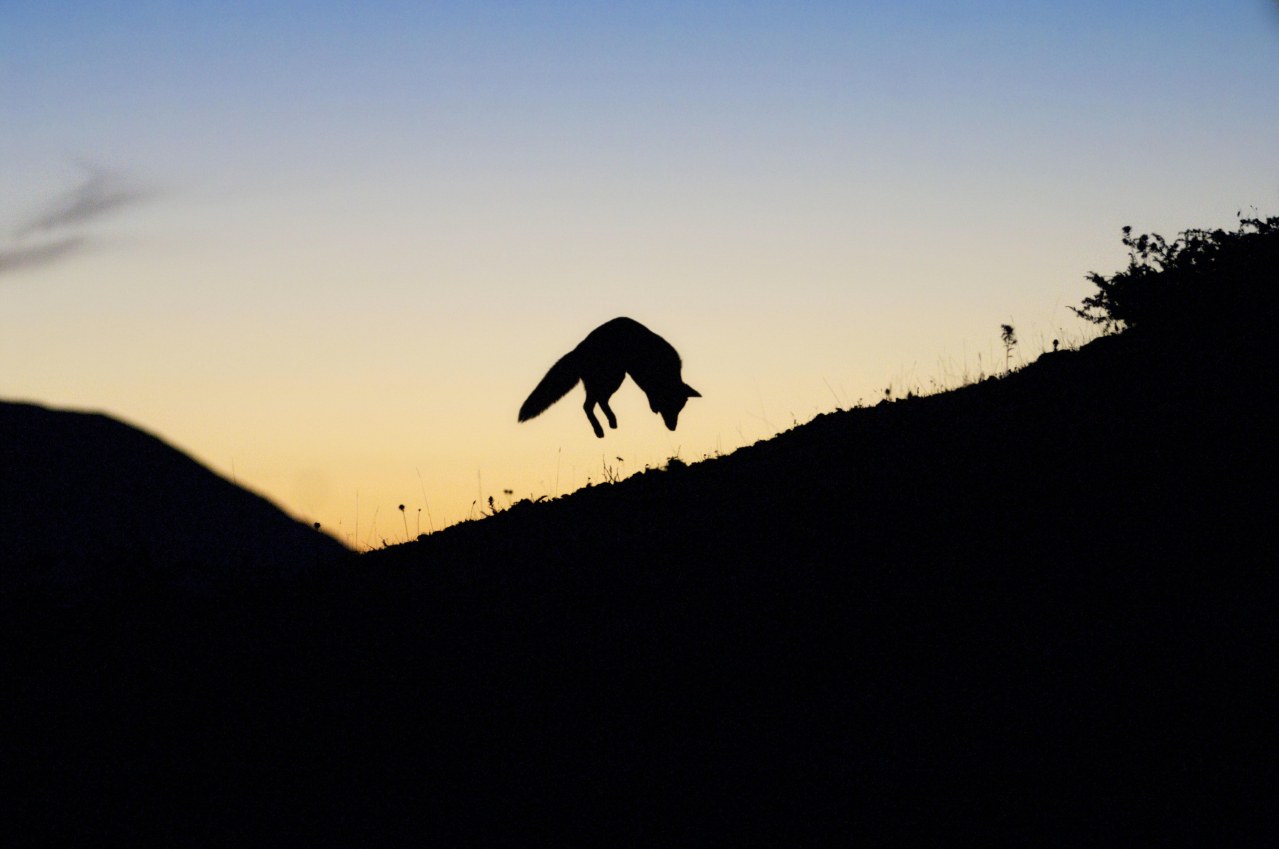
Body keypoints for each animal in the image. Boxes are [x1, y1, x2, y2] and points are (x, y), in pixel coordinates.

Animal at [516, 317, 700, 439]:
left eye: (680, 409)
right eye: (672, 407)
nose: (673, 428)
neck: (667, 375)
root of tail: (579, 348)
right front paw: (654, 406)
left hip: (607, 382)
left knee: (595, 403)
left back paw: (610, 423)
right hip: (612, 379)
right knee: (590, 405)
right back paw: (600, 429)